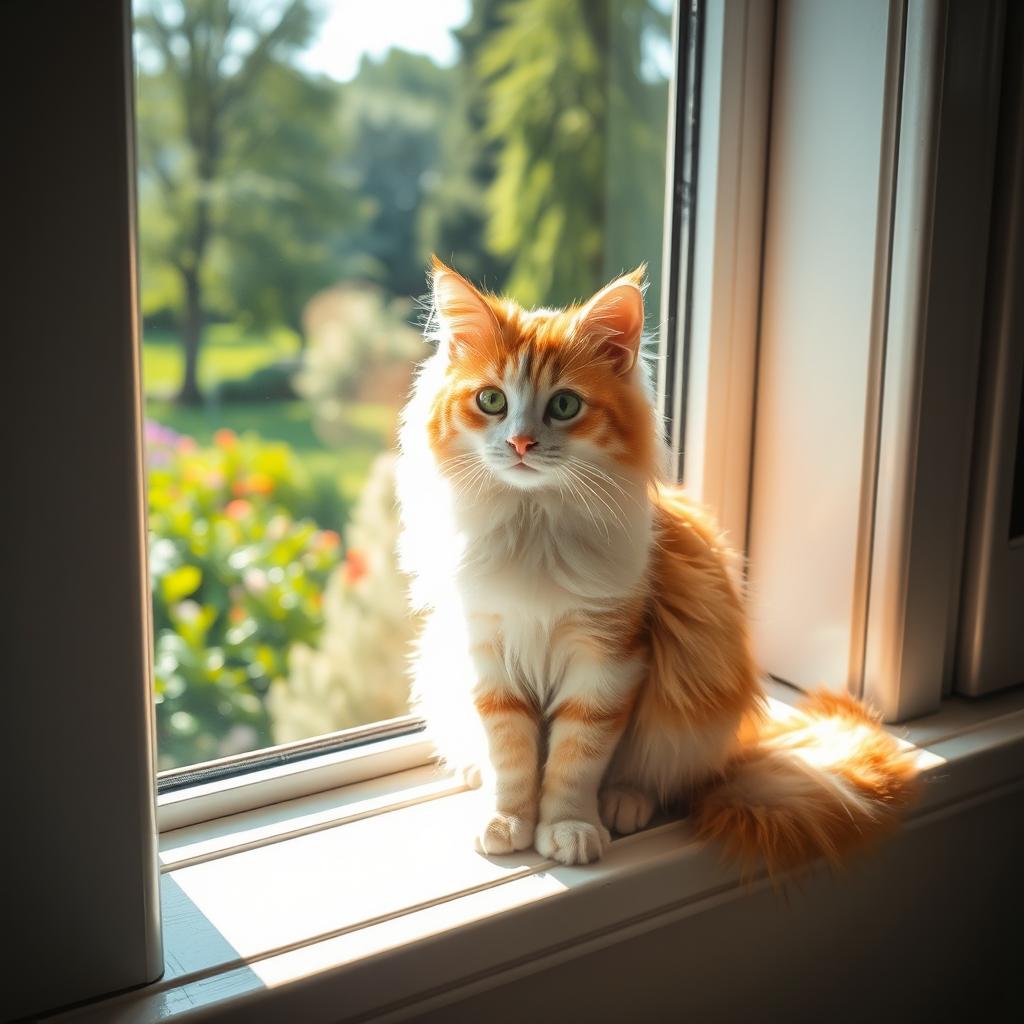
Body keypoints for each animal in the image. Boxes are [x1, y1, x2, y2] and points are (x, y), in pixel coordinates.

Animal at [393, 258, 921, 872]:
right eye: (492, 402)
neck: (534, 522)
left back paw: (625, 803)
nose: (522, 443)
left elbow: (577, 757)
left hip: (692, 710)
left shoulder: (609, 658)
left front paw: (569, 828)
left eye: (565, 406)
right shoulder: (488, 650)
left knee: (659, 776)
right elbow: (511, 752)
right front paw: (506, 819)